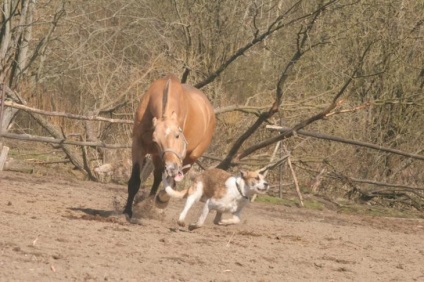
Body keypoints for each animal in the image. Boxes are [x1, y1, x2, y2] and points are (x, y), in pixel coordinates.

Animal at [122, 74, 215, 218]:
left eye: (177, 135)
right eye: (155, 140)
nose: (171, 167)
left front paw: (162, 200)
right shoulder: (138, 144)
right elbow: (135, 180)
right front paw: (127, 211)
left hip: (191, 156)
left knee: (175, 179)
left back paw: (160, 200)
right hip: (159, 156)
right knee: (158, 176)